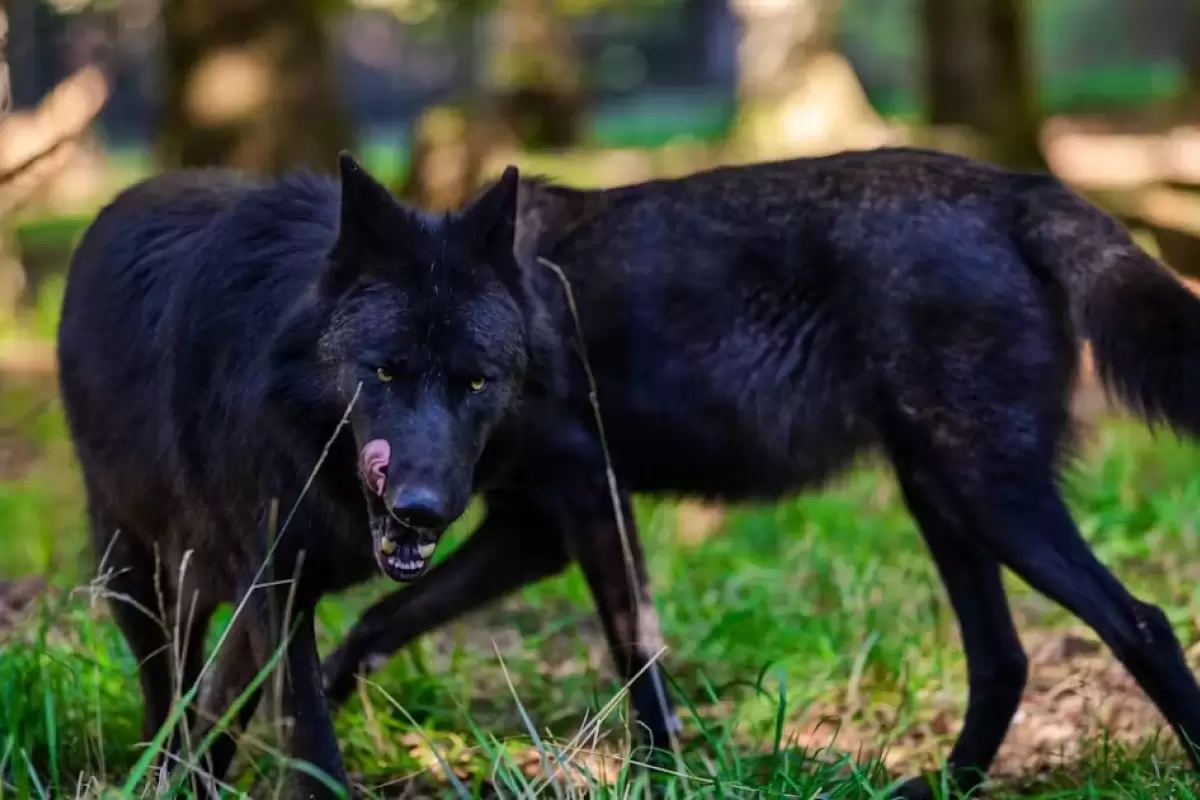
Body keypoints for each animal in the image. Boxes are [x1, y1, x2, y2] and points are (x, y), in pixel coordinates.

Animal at [54, 153, 554, 796]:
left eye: (475, 381)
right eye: (384, 372)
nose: (420, 507)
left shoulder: (273, 589)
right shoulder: (275, 585)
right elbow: (309, 735)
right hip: (133, 569)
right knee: (167, 687)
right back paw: (161, 770)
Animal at [321, 148, 1200, 796]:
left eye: (463, 378)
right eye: (383, 371)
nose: (414, 504)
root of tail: (1014, 186)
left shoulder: (586, 501)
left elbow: (639, 662)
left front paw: (660, 780)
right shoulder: (534, 533)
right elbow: (371, 627)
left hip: (990, 498)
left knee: (1142, 623)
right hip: (941, 498)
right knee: (1003, 659)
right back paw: (943, 785)